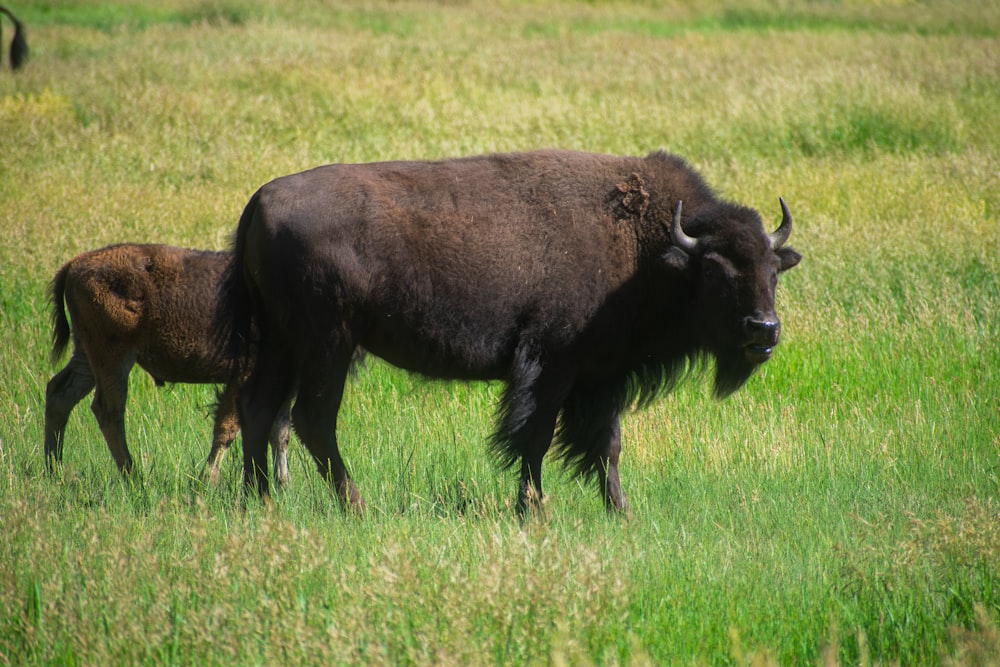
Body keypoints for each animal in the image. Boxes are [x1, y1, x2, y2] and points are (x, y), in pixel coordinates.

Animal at [230, 151, 800, 516]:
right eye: (716, 272)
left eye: (773, 269)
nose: (764, 330)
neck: (649, 248)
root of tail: (259, 200)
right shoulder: (551, 367)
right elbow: (535, 437)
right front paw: (534, 509)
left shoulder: (602, 378)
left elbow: (607, 444)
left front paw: (620, 512)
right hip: (329, 344)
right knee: (312, 420)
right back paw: (355, 506)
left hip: (282, 344)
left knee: (259, 412)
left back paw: (259, 503)